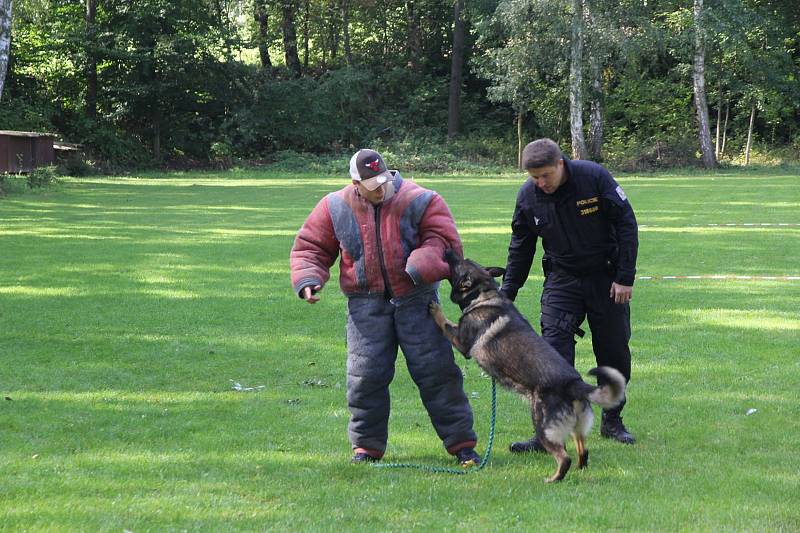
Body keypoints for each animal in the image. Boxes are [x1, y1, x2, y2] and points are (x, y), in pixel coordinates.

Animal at [432, 249, 624, 482]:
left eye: (457, 262)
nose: (448, 250)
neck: (481, 294)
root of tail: (574, 383)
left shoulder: (462, 343)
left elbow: (444, 322)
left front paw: (435, 308)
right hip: (575, 428)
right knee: (583, 451)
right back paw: (579, 472)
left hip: (541, 424)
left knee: (564, 457)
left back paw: (554, 479)